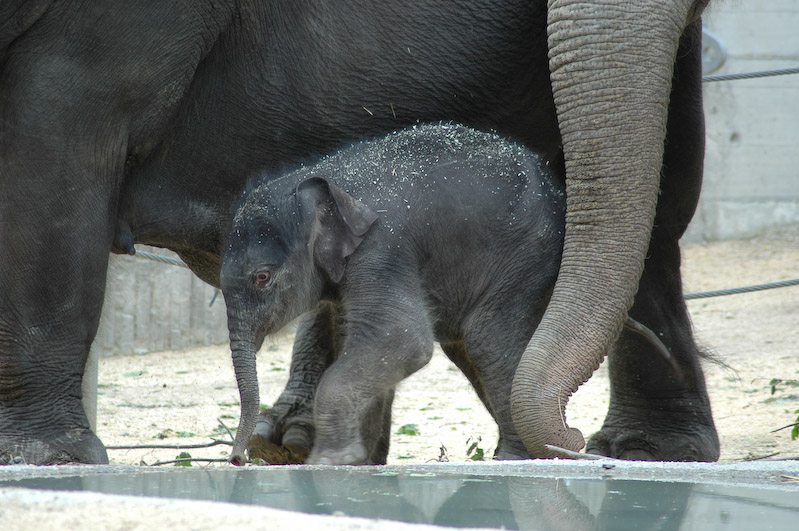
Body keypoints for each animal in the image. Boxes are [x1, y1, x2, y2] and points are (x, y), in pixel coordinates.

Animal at [222, 124, 564, 466]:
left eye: (262, 277)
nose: (238, 459)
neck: (325, 180)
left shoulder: (381, 249)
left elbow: (401, 337)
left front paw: (330, 460)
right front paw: (360, 461)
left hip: (526, 256)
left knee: (487, 340)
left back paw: (513, 457)